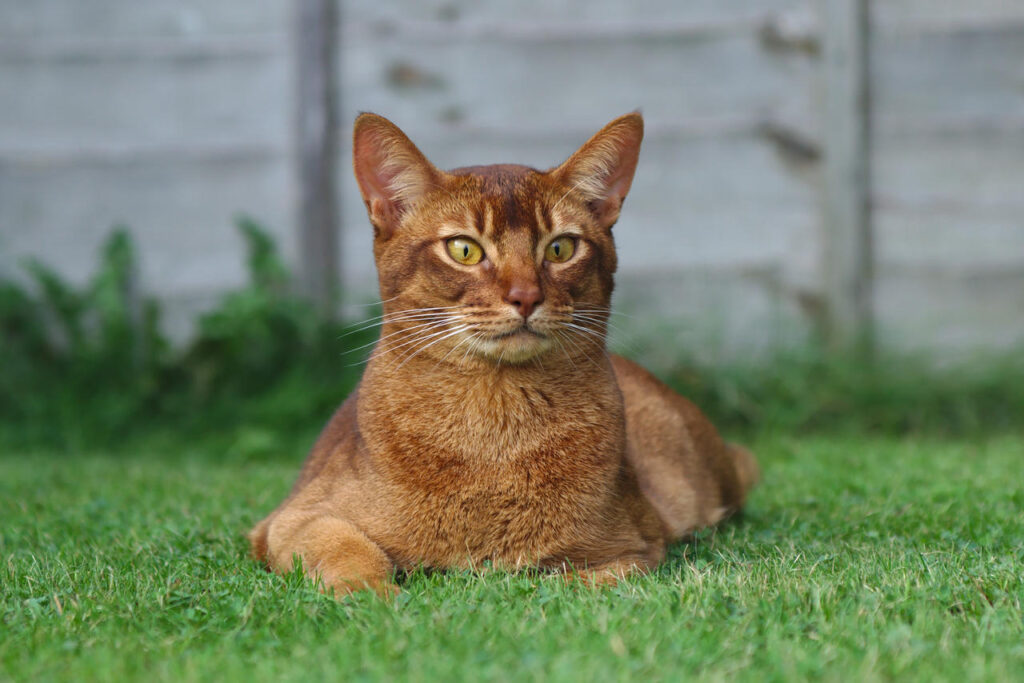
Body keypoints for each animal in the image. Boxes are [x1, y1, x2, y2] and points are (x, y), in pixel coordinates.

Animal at [247, 113, 761, 598]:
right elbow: (348, 550)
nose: (526, 296)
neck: (495, 431)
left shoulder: (636, 548)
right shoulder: (292, 519)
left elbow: (568, 581)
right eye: (464, 249)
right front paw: (373, 596)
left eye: (560, 247)